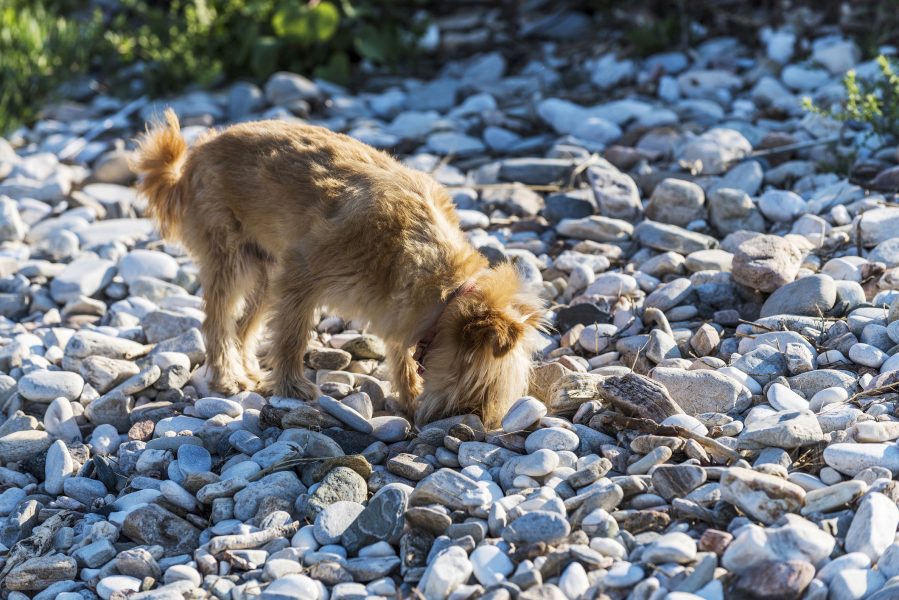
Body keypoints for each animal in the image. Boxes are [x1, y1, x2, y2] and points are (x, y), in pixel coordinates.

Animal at [130, 108, 544, 426]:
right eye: (482, 387)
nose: (475, 422)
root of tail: (194, 155)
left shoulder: (397, 307)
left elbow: (399, 352)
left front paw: (408, 394)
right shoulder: (302, 274)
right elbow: (292, 336)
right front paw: (293, 387)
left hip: (265, 272)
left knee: (245, 324)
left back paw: (247, 370)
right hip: (230, 258)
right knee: (217, 321)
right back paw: (227, 377)